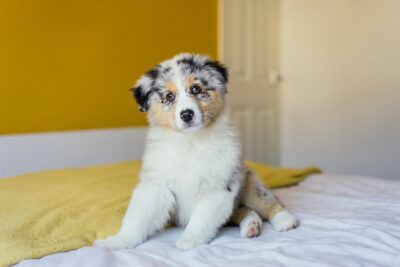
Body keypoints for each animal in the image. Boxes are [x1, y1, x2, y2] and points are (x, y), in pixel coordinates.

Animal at [95, 53, 298, 250]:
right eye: (169, 96)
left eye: (196, 89)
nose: (186, 114)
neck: (191, 142)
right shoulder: (157, 185)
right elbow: (138, 218)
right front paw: (118, 241)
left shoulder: (219, 187)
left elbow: (201, 219)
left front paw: (188, 241)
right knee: (245, 211)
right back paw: (251, 226)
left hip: (249, 183)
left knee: (269, 201)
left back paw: (285, 221)